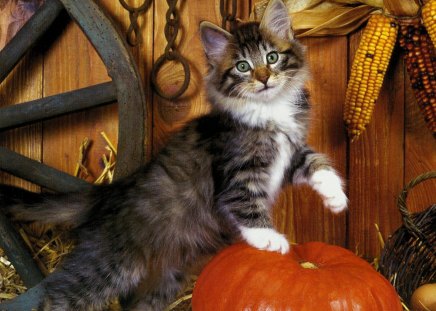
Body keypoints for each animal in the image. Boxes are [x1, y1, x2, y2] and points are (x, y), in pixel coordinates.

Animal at [0, 0, 348, 310]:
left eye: (272, 57)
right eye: (242, 66)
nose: (263, 78)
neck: (269, 110)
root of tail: (106, 191)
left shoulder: (288, 154)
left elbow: (317, 163)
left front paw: (335, 198)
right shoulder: (236, 172)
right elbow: (246, 205)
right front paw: (269, 239)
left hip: (164, 278)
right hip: (110, 265)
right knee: (57, 297)